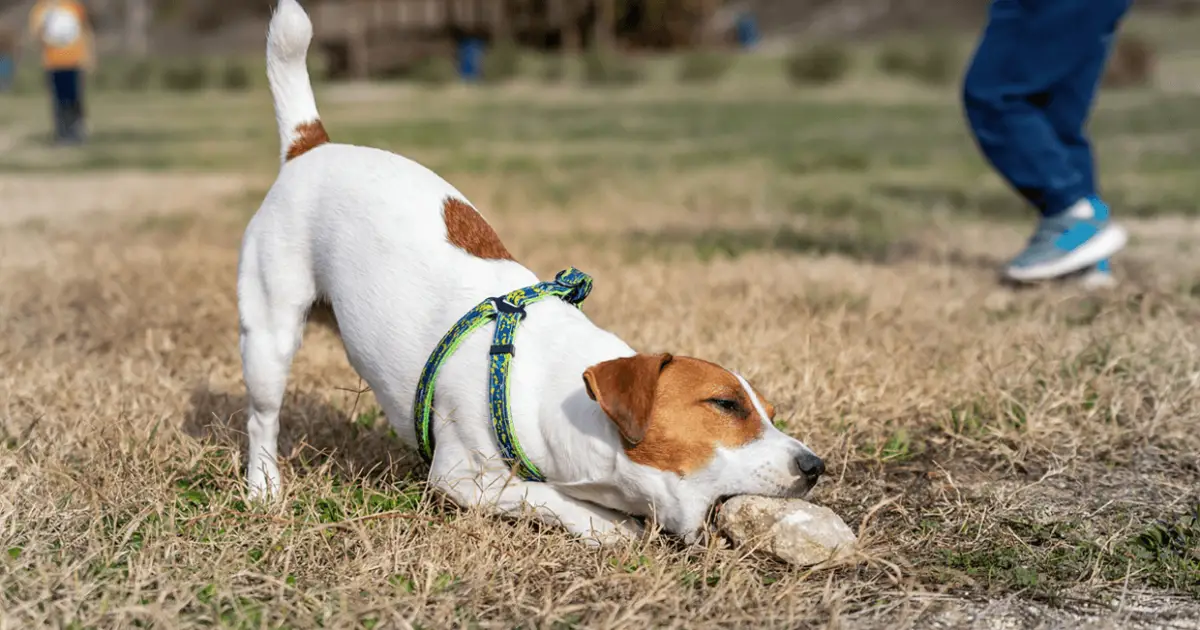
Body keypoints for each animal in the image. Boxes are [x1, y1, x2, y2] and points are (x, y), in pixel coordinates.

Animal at [242, 0, 825, 542]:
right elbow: (542, 495)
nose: (815, 465)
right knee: (262, 418)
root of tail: (311, 144)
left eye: (770, 411)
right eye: (725, 404)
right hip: (269, 336)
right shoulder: (462, 478)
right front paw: (607, 525)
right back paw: (263, 487)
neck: (557, 393)